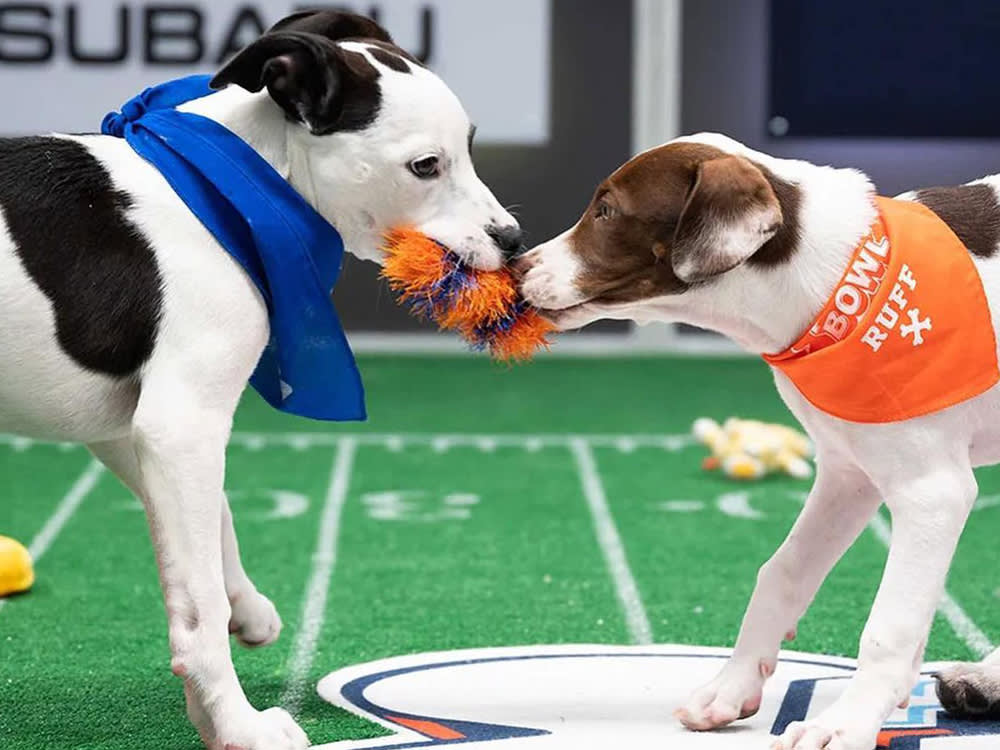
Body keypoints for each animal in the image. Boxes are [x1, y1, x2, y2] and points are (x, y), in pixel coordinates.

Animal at [3, 11, 524, 750]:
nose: (513, 238)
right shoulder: (180, 424)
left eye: (473, 147)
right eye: (426, 166)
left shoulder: (128, 427)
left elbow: (215, 520)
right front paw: (238, 725)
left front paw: (242, 614)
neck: (227, 190)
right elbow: (195, 609)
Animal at [520, 135, 1000, 750]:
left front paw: (846, 722)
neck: (840, 284)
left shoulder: (932, 492)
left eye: (606, 210)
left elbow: (887, 626)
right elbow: (782, 573)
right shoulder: (849, 474)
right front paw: (733, 686)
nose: (515, 264)